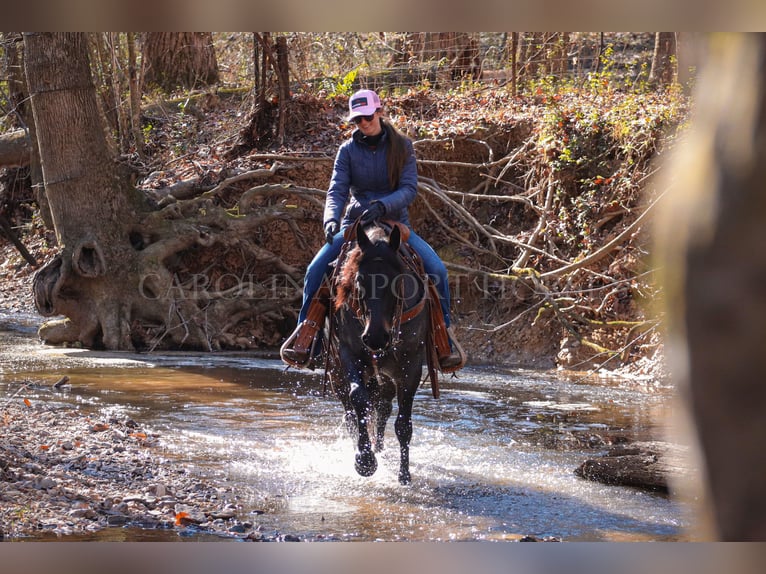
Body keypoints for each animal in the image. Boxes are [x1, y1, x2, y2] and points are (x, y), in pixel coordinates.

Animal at [326, 220, 438, 486]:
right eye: (358, 281)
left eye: (397, 280)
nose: (375, 337)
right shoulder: (349, 355)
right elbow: (358, 400)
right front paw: (364, 461)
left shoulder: (410, 366)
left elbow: (403, 424)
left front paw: (404, 475)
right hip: (336, 372)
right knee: (351, 412)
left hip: (385, 377)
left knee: (383, 408)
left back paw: (380, 449)